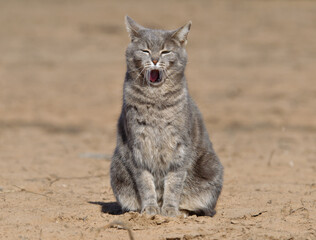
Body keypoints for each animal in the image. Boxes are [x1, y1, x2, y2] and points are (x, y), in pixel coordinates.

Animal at [110, 15, 223, 218]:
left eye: (165, 51)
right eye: (145, 50)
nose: (155, 59)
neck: (156, 102)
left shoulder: (180, 148)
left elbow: (174, 183)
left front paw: (169, 210)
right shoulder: (136, 148)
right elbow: (145, 184)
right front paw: (150, 209)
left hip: (212, 167)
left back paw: (181, 211)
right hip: (116, 171)